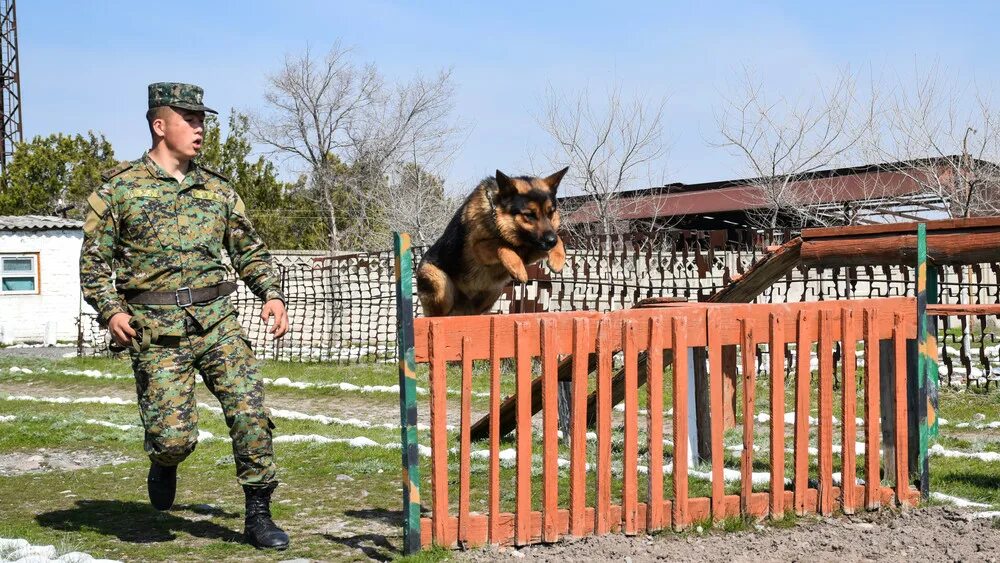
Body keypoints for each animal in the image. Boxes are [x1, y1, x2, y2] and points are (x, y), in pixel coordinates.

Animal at [416, 167, 572, 318]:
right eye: (529, 215)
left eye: (550, 213)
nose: (551, 241)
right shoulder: (479, 249)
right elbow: (501, 245)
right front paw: (518, 269)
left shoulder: (530, 250)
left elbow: (560, 240)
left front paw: (558, 259)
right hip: (440, 284)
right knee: (437, 314)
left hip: (493, 291)